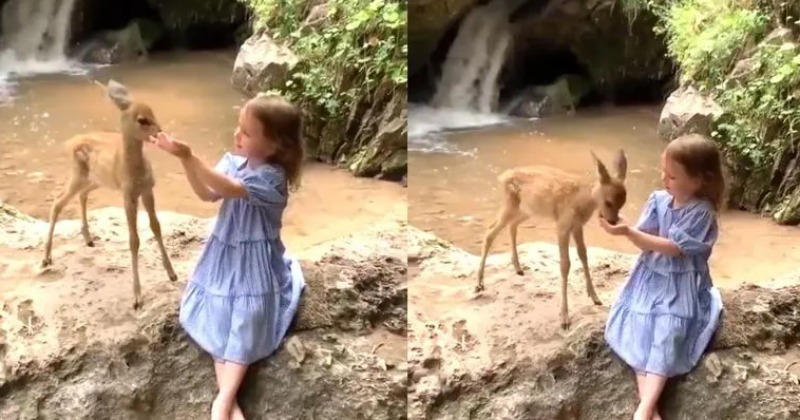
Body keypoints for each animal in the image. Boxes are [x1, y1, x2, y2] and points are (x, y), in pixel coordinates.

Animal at [41, 79, 177, 308]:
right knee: (58, 202)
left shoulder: (147, 190)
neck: (134, 171)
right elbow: (134, 240)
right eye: (142, 119)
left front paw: (172, 274)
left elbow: (156, 227)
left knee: (81, 195)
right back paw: (46, 258)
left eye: (153, 111)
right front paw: (137, 297)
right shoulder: (127, 195)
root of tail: (71, 142)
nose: (160, 132)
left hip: (95, 180)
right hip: (78, 174)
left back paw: (88, 239)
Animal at [472, 149, 628, 330]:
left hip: (526, 209)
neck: (581, 201)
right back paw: (479, 283)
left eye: (622, 203)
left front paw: (595, 297)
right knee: (490, 231)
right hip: (511, 205)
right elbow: (565, 264)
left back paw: (518, 268)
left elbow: (583, 256)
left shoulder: (577, 226)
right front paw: (564, 318)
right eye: (608, 202)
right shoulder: (562, 226)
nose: (612, 222)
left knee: (512, 225)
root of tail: (503, 176)